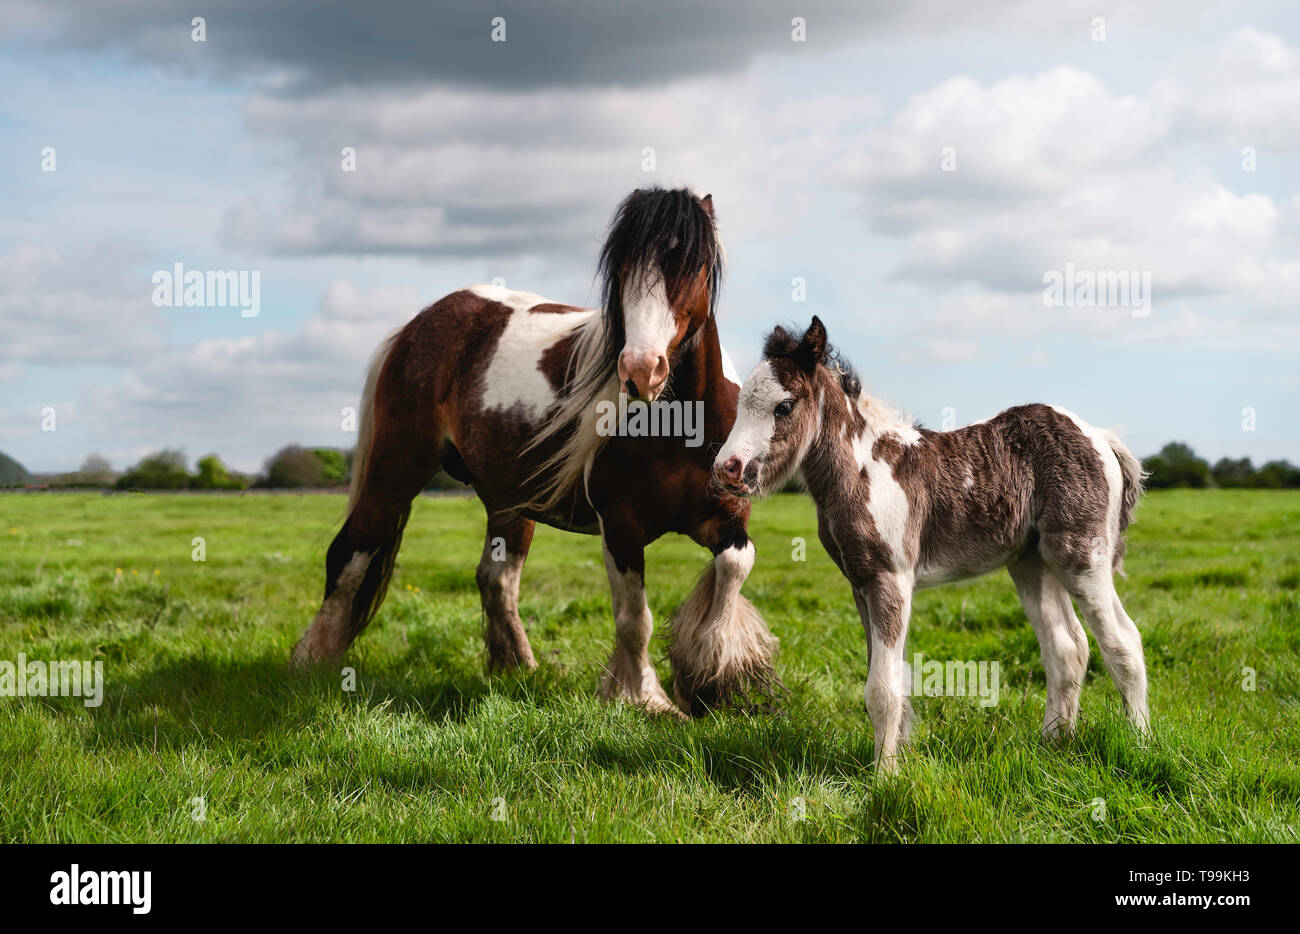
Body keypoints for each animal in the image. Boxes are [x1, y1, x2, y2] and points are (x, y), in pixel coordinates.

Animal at [292, 187, 778, 717]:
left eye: (693, 266)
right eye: (624, 267)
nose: (640, 370)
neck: (681, 424)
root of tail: (417, 326)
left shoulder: (725, 515)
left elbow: (733, 568)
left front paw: (716, 679)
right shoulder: (620, 526)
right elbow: (636, 618)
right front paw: (644, 698)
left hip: (508, 503)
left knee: (496, 579)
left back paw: (518, 667)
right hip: (395, 471)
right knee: (350, 555)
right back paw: (314, 660)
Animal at [713, 316, 1150, 770]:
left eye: (784, 406)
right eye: (743, 402)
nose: (728, 469)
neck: (864, 468)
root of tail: (1099, 436)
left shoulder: (890, 580)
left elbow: (881, 688)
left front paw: (884, 775)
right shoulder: (861, 585)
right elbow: (891, 678)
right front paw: (900, 756)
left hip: (1082, 557)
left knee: (1123, 643)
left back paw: (1140, 746)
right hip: (1032, 562)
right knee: (1067, 648)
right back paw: (1052, 744)